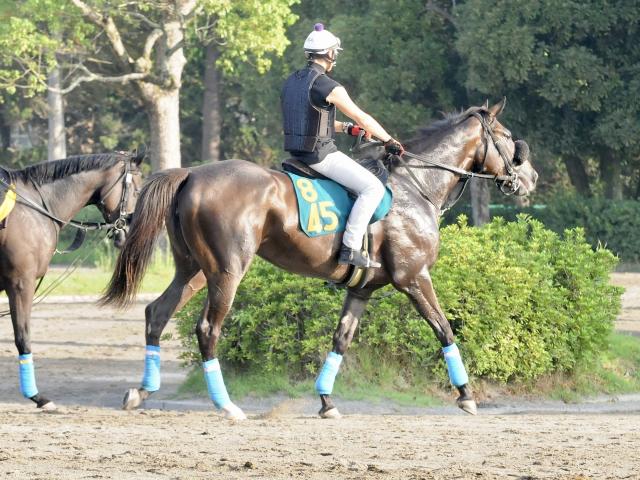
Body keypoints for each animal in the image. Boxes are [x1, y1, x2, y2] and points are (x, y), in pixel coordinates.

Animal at [1, 152, 143, 410]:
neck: (35, 206)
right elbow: (23, 338)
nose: (130, 228)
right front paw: (38, 397)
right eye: (136, 189)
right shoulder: (20, 284)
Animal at [104, 99, 536, 418]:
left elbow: (341, 338)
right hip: (227, 272)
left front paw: (326, 400)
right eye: (508, 138)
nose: (530, 178)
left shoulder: (363, 290)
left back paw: (142, 392)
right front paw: (466, 394)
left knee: (157, 313)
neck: (416, 186)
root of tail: (192, 174)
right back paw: (225, 404)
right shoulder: (414, 278)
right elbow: (444, 329)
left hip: (193, 271)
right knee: (208, 330)